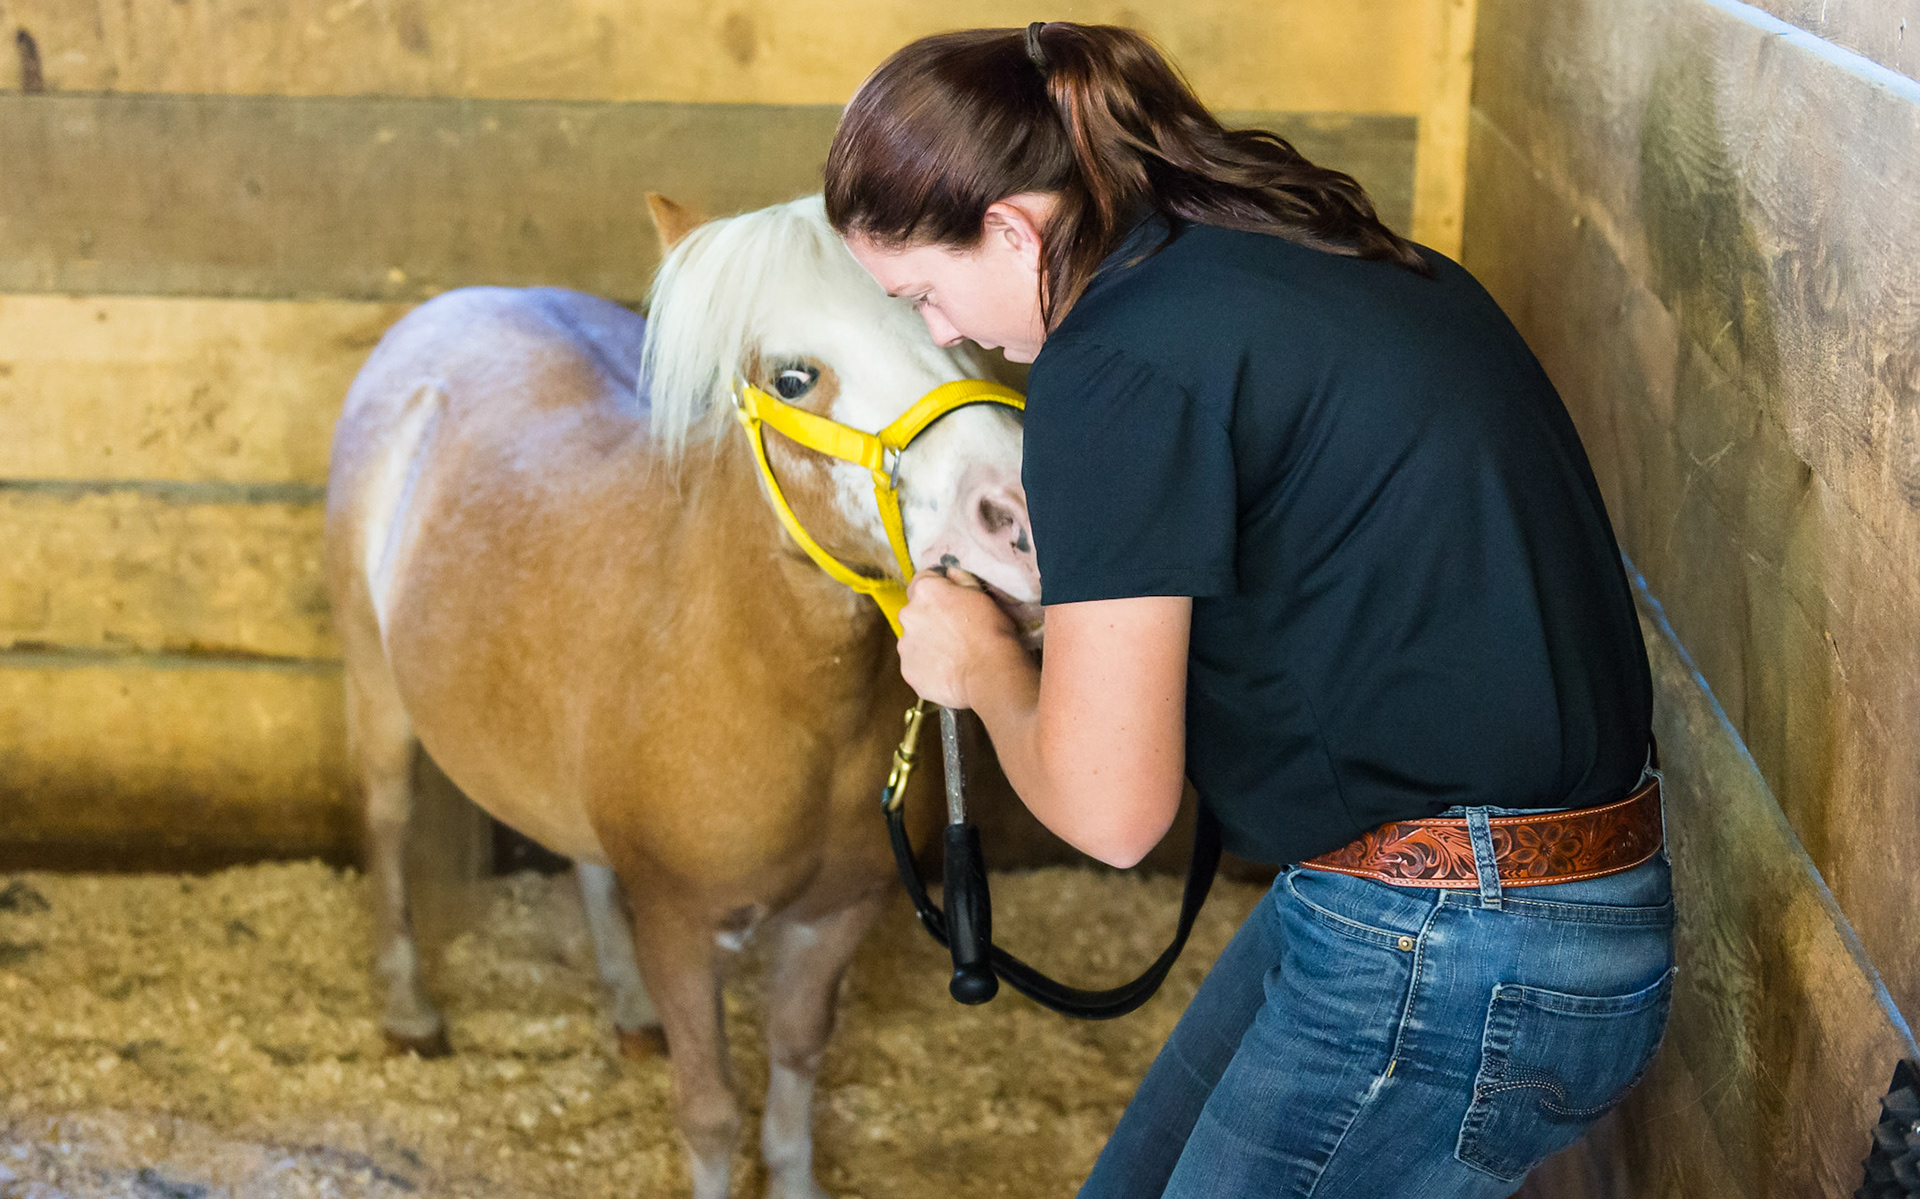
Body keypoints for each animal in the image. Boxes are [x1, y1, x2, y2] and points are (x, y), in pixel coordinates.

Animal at [323, 193, 1040, 1199]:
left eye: (958, 331)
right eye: (792, 376)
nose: (1020, 512)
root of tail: (465, 302)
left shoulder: (835, 916)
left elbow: (796, 1066)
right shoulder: (680, 924)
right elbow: (709, 1110)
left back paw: (626, 1009)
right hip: (376, 689)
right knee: (387, 827)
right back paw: (411, 1011)